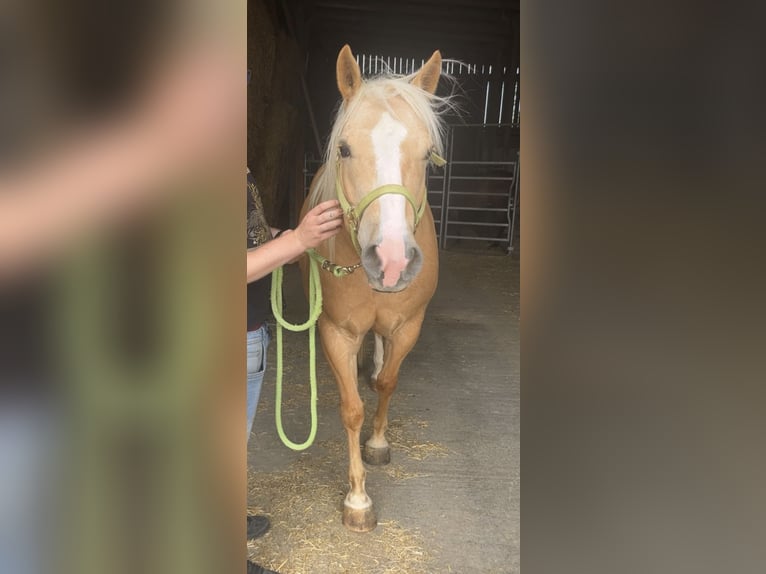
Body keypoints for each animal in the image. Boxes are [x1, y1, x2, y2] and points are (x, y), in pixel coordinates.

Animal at [299, 44, 451, 532]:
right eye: (344, 149)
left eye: (427, 154)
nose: (392, 260)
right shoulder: (336, 332)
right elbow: (352, 409)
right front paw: (357, 499)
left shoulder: (408, 325)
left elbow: (387, 383)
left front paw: (378, 444)